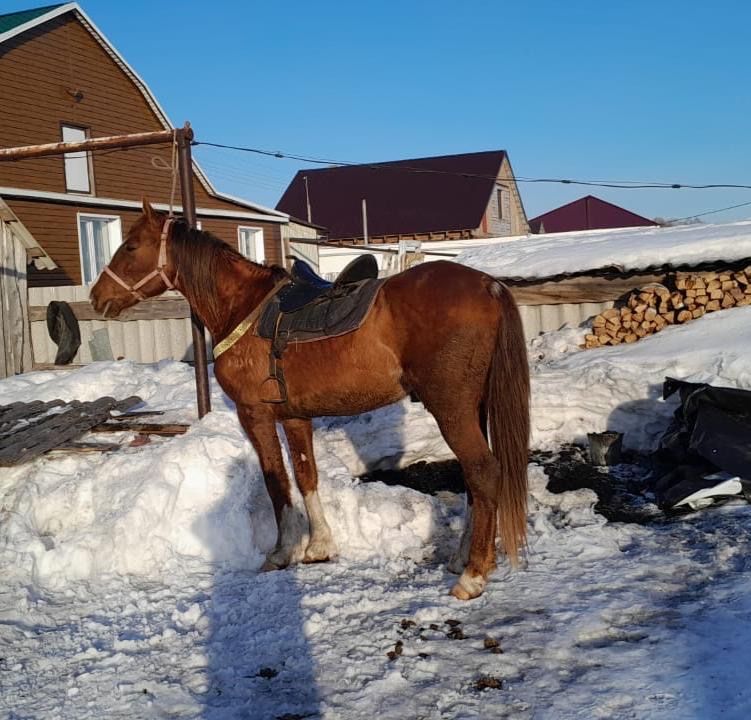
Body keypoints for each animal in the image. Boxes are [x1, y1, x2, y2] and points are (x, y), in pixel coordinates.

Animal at [91, 200, 532, 600]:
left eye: (130, 246)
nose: (97, 297)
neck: (243, 308)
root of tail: (488, 285)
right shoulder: (294, 416)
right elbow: (306, 476)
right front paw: (319, 546)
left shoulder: (255, 415)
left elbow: (276, 481)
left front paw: (282, 553)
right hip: (472, 408)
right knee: (475, 480)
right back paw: (463, 559)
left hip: (451, 408)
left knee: (483, 472)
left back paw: (473, 576)